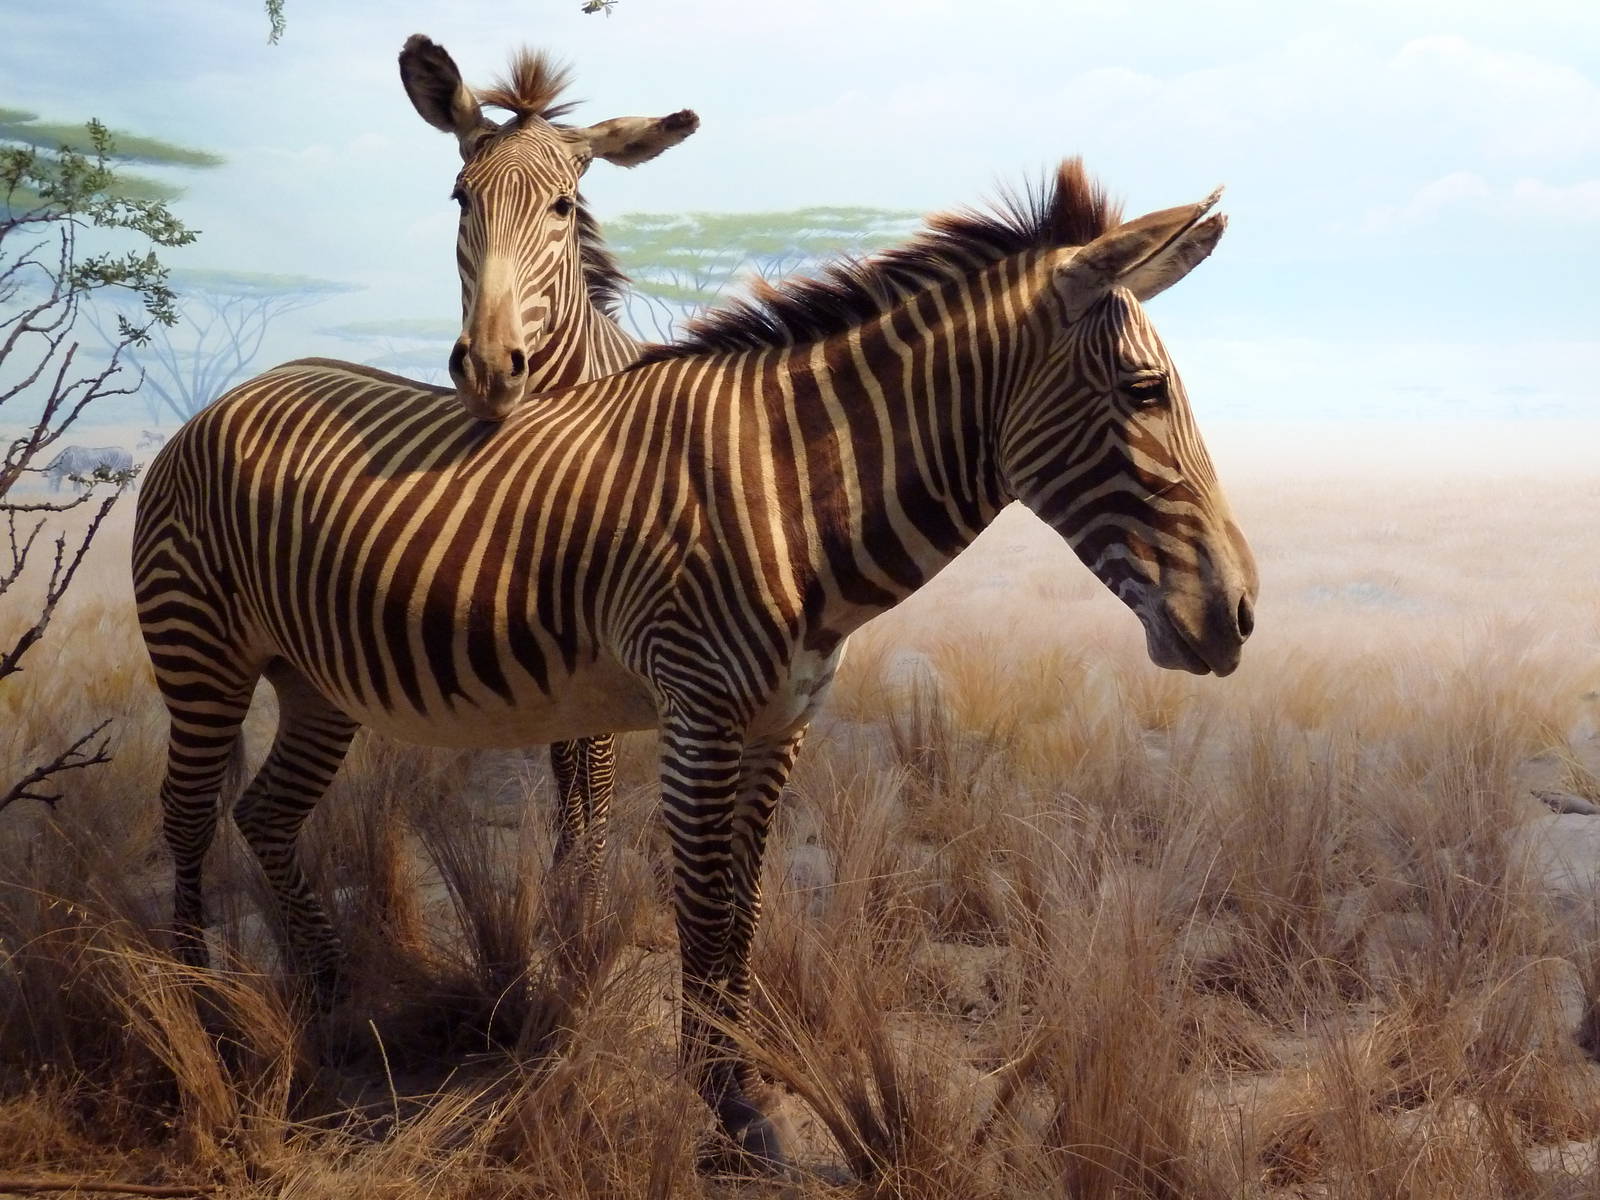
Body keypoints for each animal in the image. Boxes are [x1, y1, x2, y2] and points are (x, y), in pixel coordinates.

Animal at [132, 158, 1257, 1166]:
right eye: (1145, 392)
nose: (1240, 616)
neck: (794, 498)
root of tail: (229, 397)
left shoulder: (776, 726)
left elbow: (744, 912)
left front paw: (737, 1085)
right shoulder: (700, 716)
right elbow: (706, 907)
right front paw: (729, 1104)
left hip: (315, 680)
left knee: (264, 812)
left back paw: (338, 1002)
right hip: (201, 653)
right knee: (186, 817)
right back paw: (198, 1015)